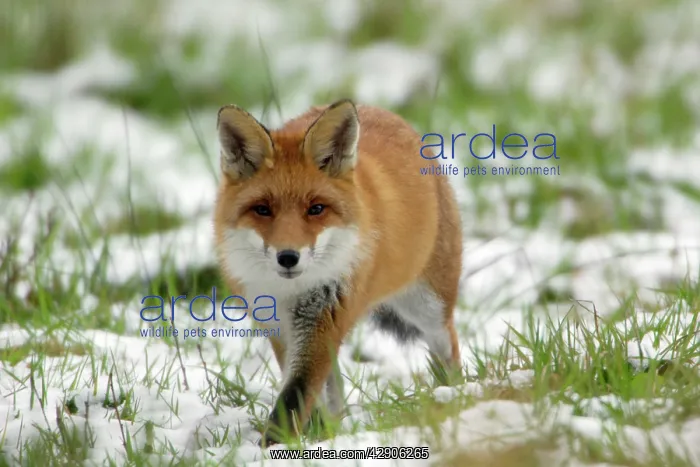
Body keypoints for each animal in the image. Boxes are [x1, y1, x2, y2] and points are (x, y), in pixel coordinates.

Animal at [212, 99, 463, 446]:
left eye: (316, 209)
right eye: (263, 209)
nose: (288, 257)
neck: (292, 292)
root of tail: (377, 108)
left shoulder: (325, 313)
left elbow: (294, 396)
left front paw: (272, 446)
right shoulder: (278, 326)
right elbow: (304, 391)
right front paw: (305, 437)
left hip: (428, 308)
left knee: (447, 348)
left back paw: (452, 395)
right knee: (335, 388)